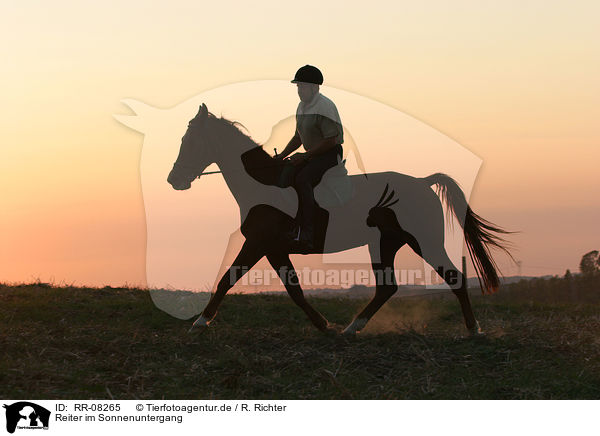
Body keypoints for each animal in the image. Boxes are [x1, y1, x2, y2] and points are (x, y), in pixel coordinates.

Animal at [168, 104, 510, 336]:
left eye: (190, 141)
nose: (174, 180)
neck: (262, 186)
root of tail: (422, 182)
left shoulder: (259, 243)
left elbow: (229, 278)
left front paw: (200, 321)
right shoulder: (273, 249)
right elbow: (293, 289)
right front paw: (324, 324)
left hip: (423, 241)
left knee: (453, 278)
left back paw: (473, 329)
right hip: (385, 243)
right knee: (387, 287)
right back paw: (352, 327)